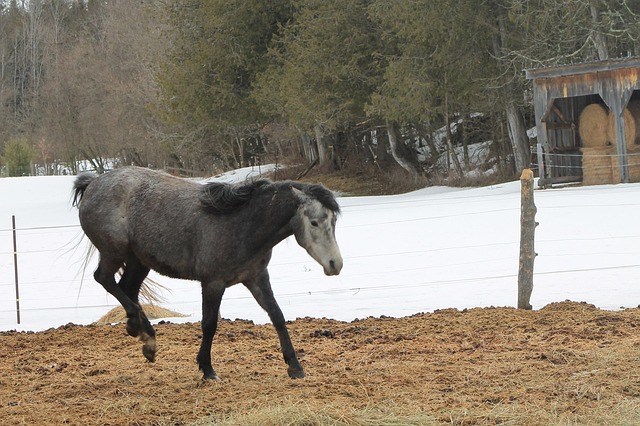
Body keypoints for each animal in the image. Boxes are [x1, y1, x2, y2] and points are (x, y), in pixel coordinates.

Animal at [72, 166, 342, 380]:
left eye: (334, 221)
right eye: (314, 222)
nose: (335, 264)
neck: (240, 224)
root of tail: (93, 183)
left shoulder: (256, 278)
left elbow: (277, 316)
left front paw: (295, 367)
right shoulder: (213, 283)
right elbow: (209, 324)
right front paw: (207, 369)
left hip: (138, 261)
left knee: (127, 289)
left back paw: (140, 332)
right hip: (114, 252)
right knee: (105, 279)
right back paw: (146, 334)